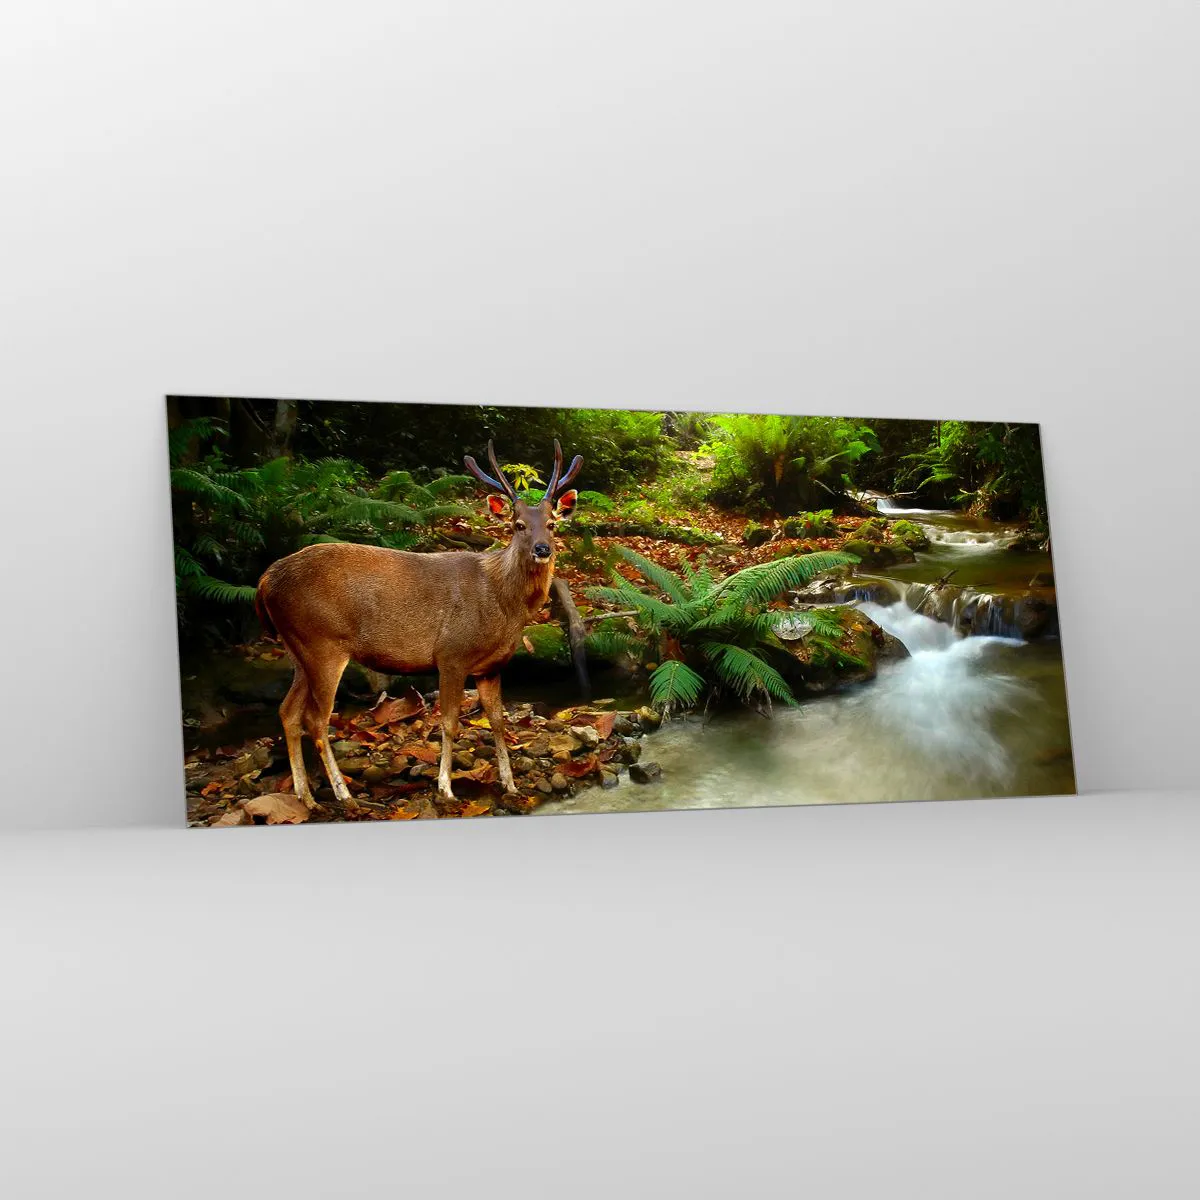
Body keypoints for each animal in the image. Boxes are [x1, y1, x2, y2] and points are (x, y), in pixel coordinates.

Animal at [253, 440, 582, 810]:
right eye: (518, 525)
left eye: (552, 523)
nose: (542, 549)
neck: (503, 605)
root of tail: (264, 582)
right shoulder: (451, 653)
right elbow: (450, 722)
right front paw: (446, 788)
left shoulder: (491, 666)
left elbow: (498, 721)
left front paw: (510, 785)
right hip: (321, 642)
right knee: (316, 719)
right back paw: (344, 794)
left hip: (297, 648)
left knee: (288, 712)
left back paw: (306, 797)